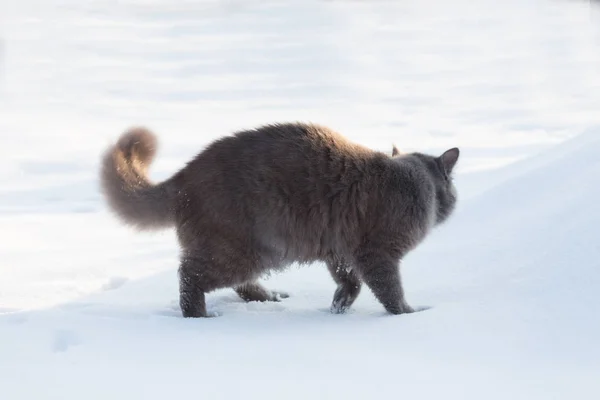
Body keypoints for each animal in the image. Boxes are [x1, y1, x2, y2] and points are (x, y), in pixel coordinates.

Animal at [102, 122, 460, 318]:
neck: (415, 183)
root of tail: (184, 177)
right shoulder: (376, 254)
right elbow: (390, 291)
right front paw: (408, 315)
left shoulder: (340, 252)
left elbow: (350, 282)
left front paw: (339, 305)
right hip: (248, 250)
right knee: (190, 276)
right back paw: (200, 316)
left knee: (236, 284)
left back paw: (271, 298)